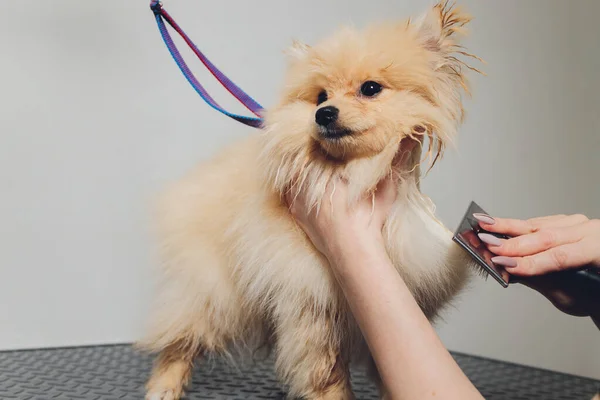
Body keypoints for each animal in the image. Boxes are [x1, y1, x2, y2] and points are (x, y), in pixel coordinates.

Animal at [141, 1, 482, 398]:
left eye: (370, 88)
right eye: (320, 96)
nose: (324, 113)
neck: (358, 174)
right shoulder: (314, 309)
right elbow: (328, 373)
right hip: (213, 290)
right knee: (181, 339)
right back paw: (164, 385)